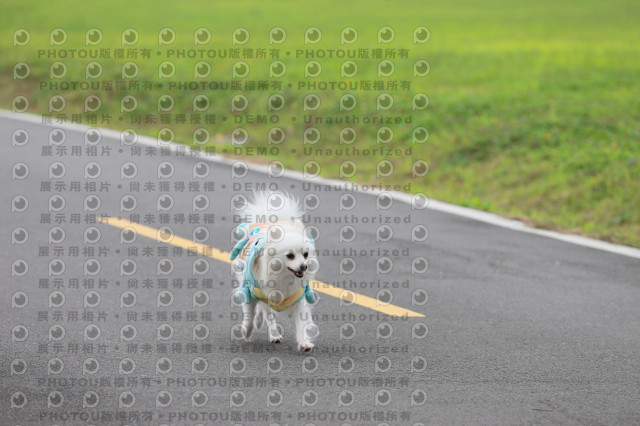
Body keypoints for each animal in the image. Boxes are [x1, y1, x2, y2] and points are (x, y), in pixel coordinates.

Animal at [230, 191, 318, 352]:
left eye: (306, 254)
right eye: (290, 256)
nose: (304, 266)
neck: (282, 277)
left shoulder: (297, 297)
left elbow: (301, 322)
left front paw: (304, 343)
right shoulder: (251, 291)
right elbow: (249, 316)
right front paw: (246, 332)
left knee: (264, 310)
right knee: (267, 312)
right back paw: (273, 333)